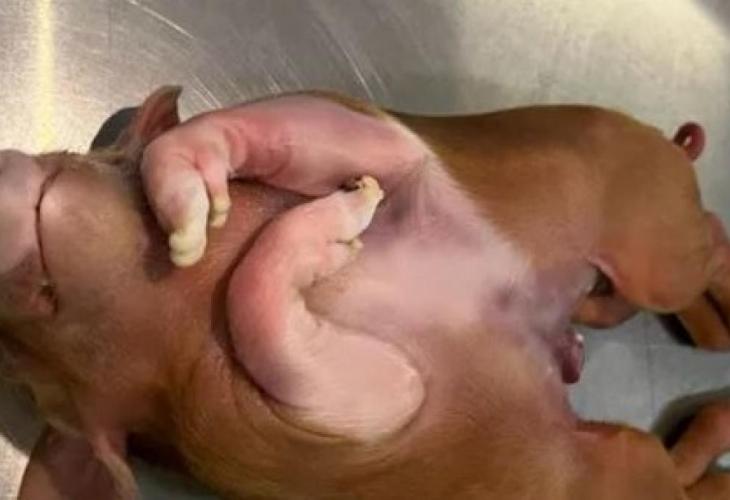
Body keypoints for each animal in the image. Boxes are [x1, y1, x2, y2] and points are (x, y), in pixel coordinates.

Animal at [0, 86, 729, 499]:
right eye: (39, 390)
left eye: (41, 292)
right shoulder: (291, 428)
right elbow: (258, 304)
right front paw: (336, 230)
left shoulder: (390, 145)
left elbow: (303, 126)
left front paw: (192, 195)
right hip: (623, 460)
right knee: (676, 462)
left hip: (644, 222)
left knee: (711, 241)